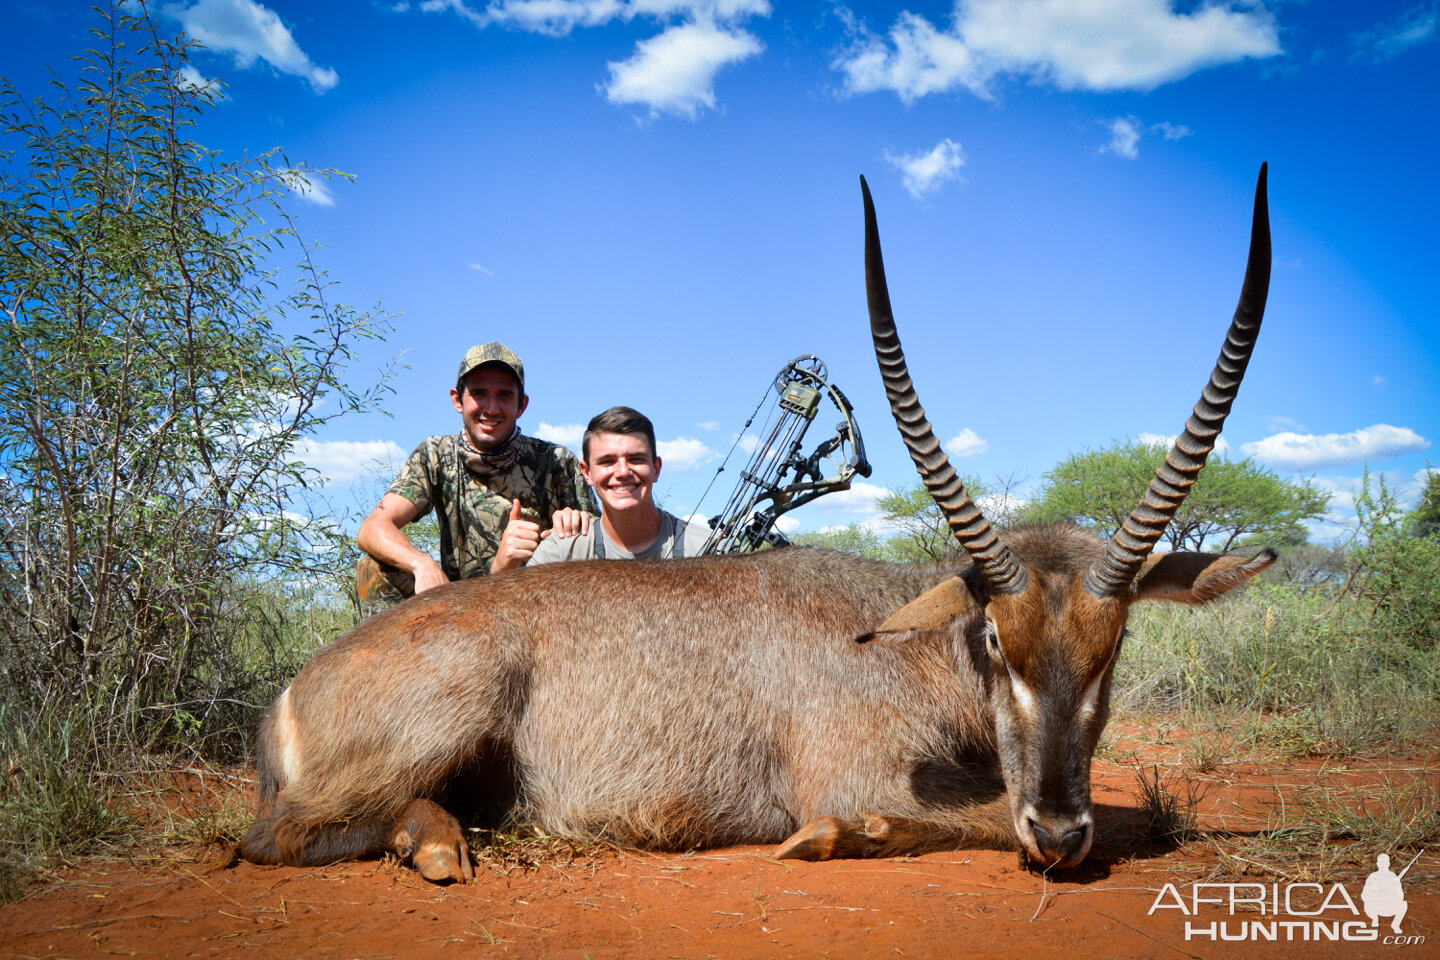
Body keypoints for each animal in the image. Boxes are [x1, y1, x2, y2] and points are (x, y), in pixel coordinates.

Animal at [241, 166, 1278, 880]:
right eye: (994, 637)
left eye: (1117, 641)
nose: (1060, 831)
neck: (905, 643)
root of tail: (290, 693)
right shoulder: (858, 772)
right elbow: (1028, 817)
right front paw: (830, 837)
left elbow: (1130, 811)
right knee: (272, 837)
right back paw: (438, 847)